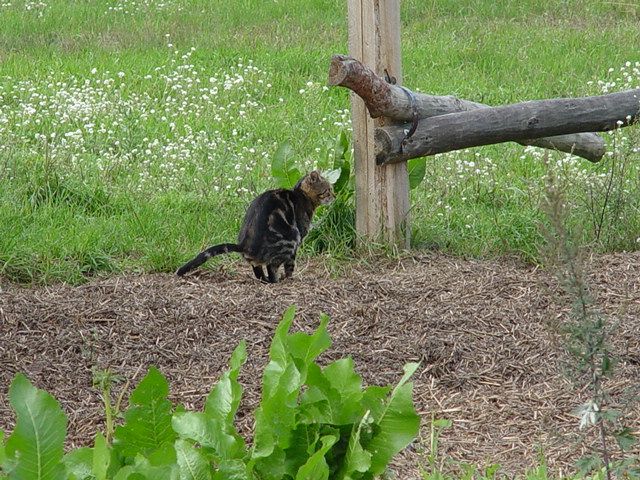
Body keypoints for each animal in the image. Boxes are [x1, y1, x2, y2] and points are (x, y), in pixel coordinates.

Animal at [176, 170, 335, 282]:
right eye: (328, 190)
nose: (335, 196)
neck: (302, 195)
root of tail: (244, 245)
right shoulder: (299, 238)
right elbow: (290, 265)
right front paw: (289, 277)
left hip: (260, 258)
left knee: (258, 271)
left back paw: (265, 280)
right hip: (291, 238)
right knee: (271, 267)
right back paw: (275, 280)